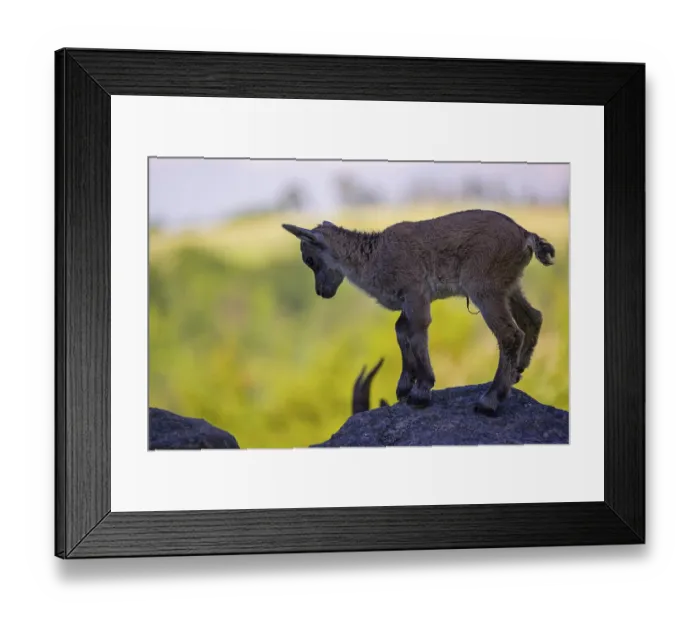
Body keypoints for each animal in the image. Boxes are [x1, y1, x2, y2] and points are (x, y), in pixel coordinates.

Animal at [282, 209, 555, 414]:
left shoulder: (416, 293)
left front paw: (422, 391)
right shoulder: (409, 301)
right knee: (533, 317)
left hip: (485, 287)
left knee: (510, 334)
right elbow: (401, 330)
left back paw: (489, 400)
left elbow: (417, 331)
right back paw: (518, 370)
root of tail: (525, 236)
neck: (375, 257)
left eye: (309, 259)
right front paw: (404, 386)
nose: (322, 291)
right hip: (509, 286)